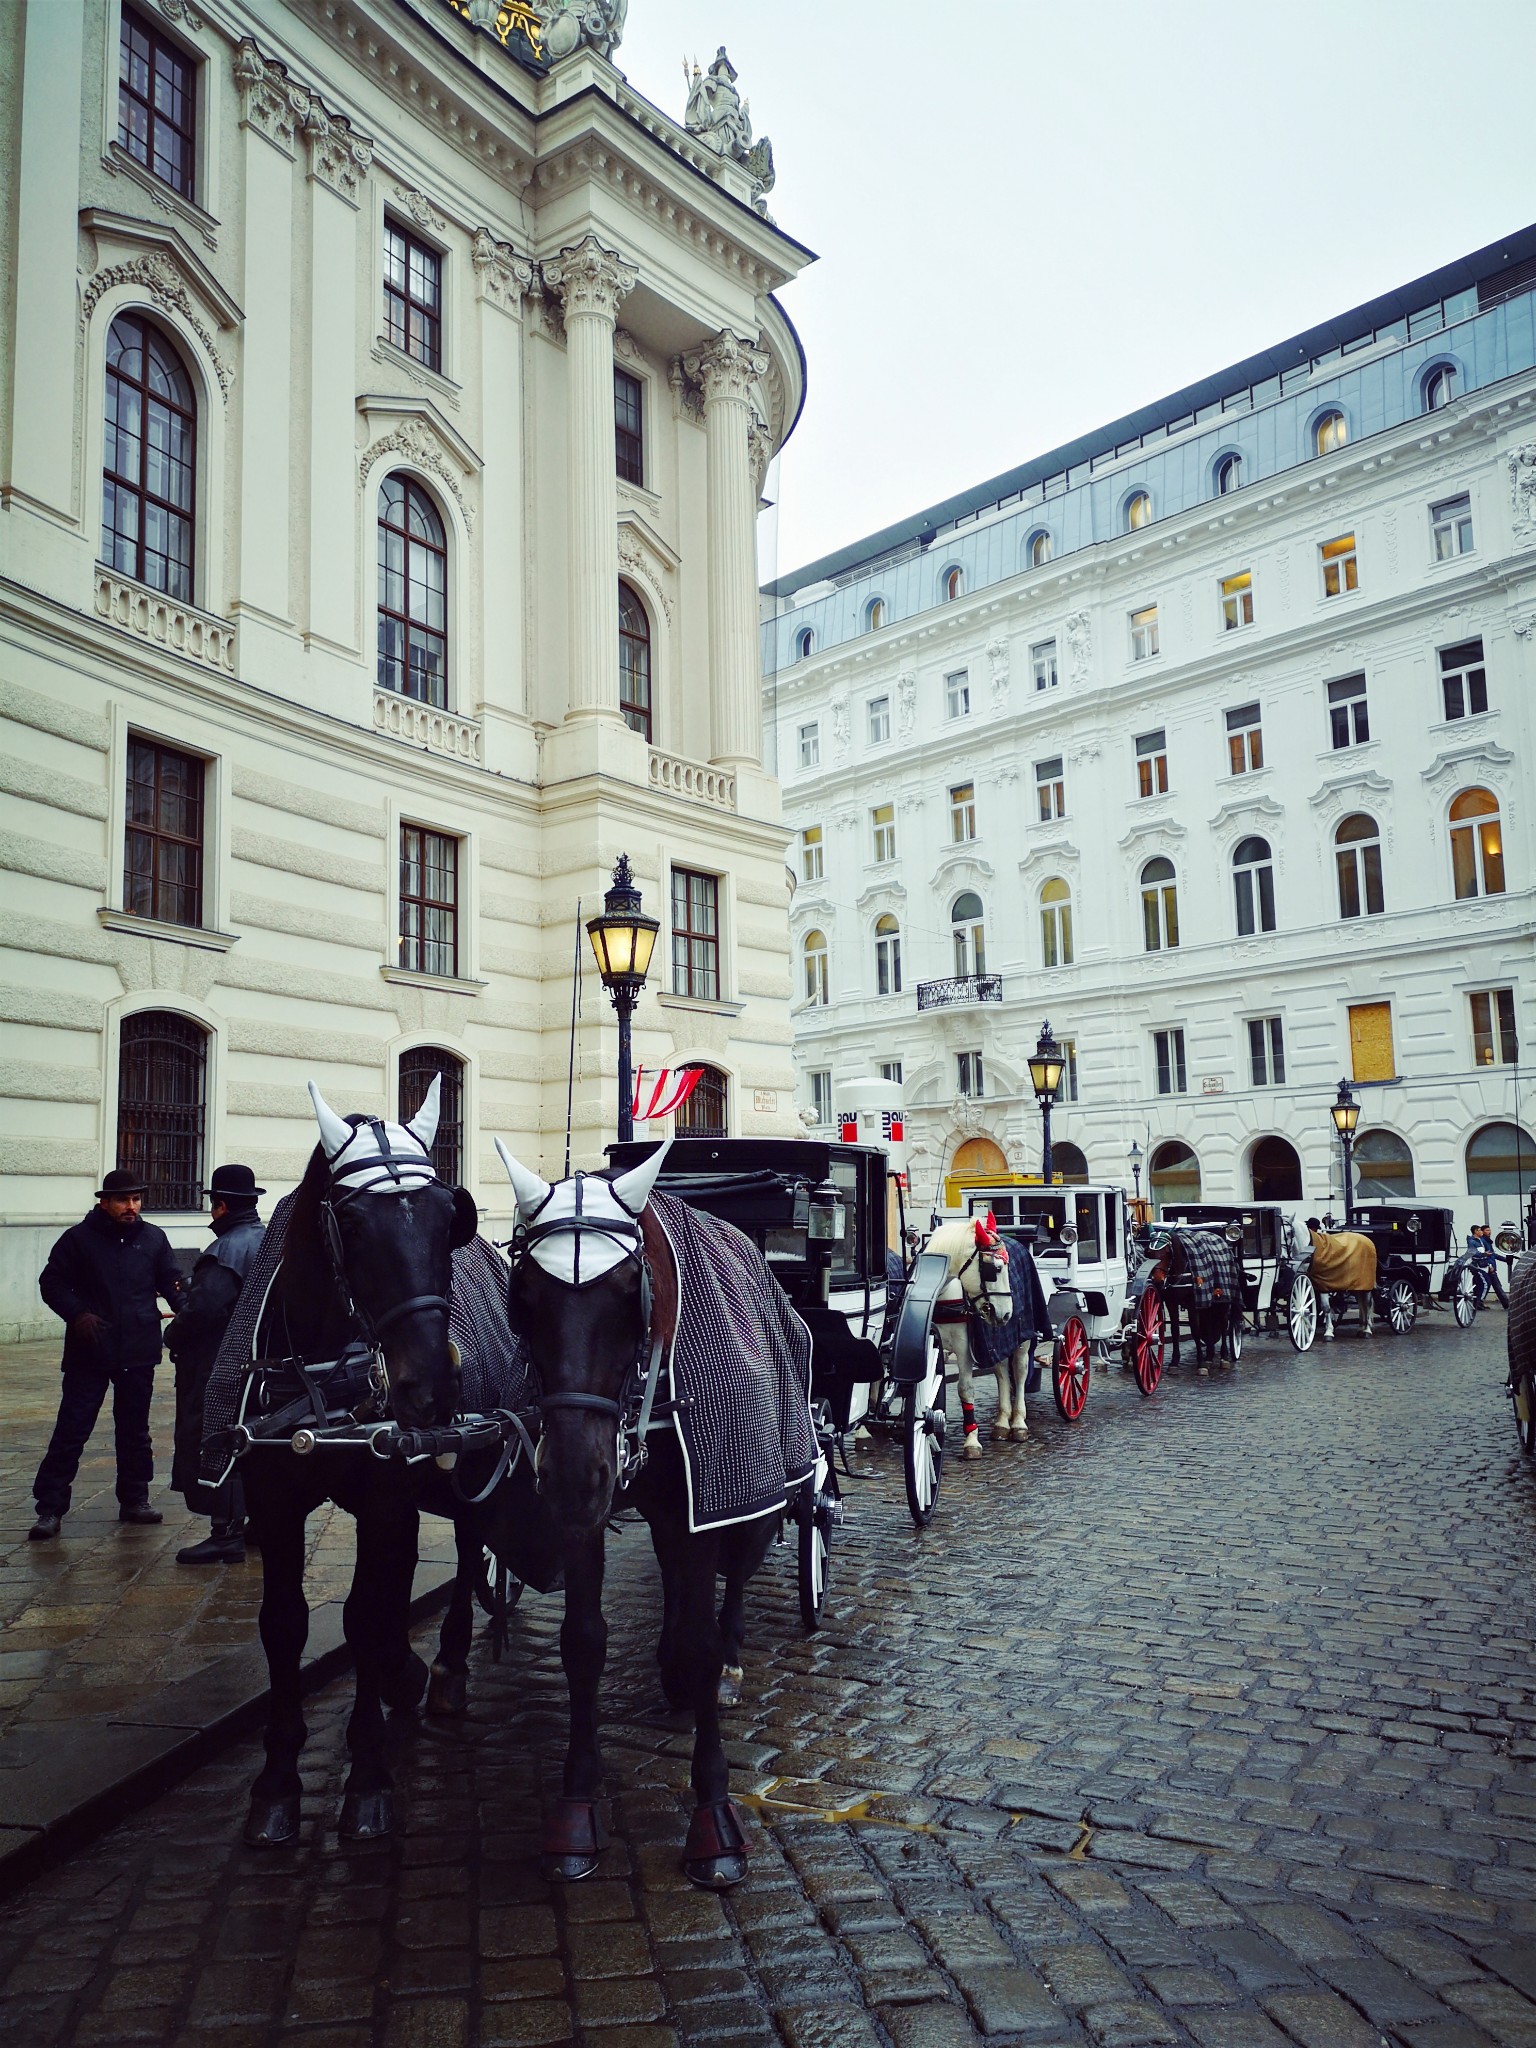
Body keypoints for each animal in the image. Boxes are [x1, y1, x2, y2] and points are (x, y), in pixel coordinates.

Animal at [501, 1138, 806, 1884]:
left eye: (625, 1296)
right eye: (526, 1298)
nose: (573, 1476)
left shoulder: (707, 1497)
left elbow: (702, 1638)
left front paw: (714, 1818)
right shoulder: (584, 1515)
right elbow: (583, 1641)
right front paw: (578, 1804)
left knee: (734, 1580)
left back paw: (725, 1666)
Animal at [921, 1212, 1028, 1458]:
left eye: (1007, 1267)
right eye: (995, 1269)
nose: (1006, 1313)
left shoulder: (963, 1347)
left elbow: (965, 1389)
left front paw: (971, 1440)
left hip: (1024, 1339)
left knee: (1020, 1372)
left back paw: (1018, 1423)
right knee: (1001, 1372)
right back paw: (1002, 1422)